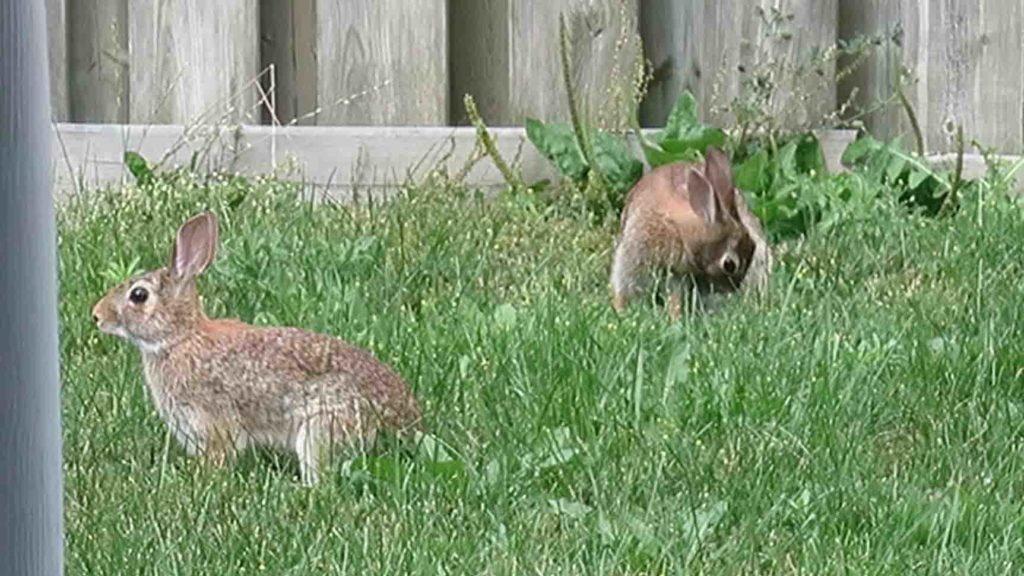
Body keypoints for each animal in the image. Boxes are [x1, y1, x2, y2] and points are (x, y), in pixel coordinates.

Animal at [91, 208, 419, 481]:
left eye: (138, 295)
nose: (96, 315)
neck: (180, 337)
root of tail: (408, 426)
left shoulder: (213, 420)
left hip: (321, 427)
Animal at [606, 145, 770, 317]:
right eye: (729, 265)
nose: (732, 289)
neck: (682, 232)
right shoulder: (636, 255)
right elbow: (625, 284)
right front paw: (620, 310)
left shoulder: (679, 274)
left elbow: (675, 296)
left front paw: (675, 317)